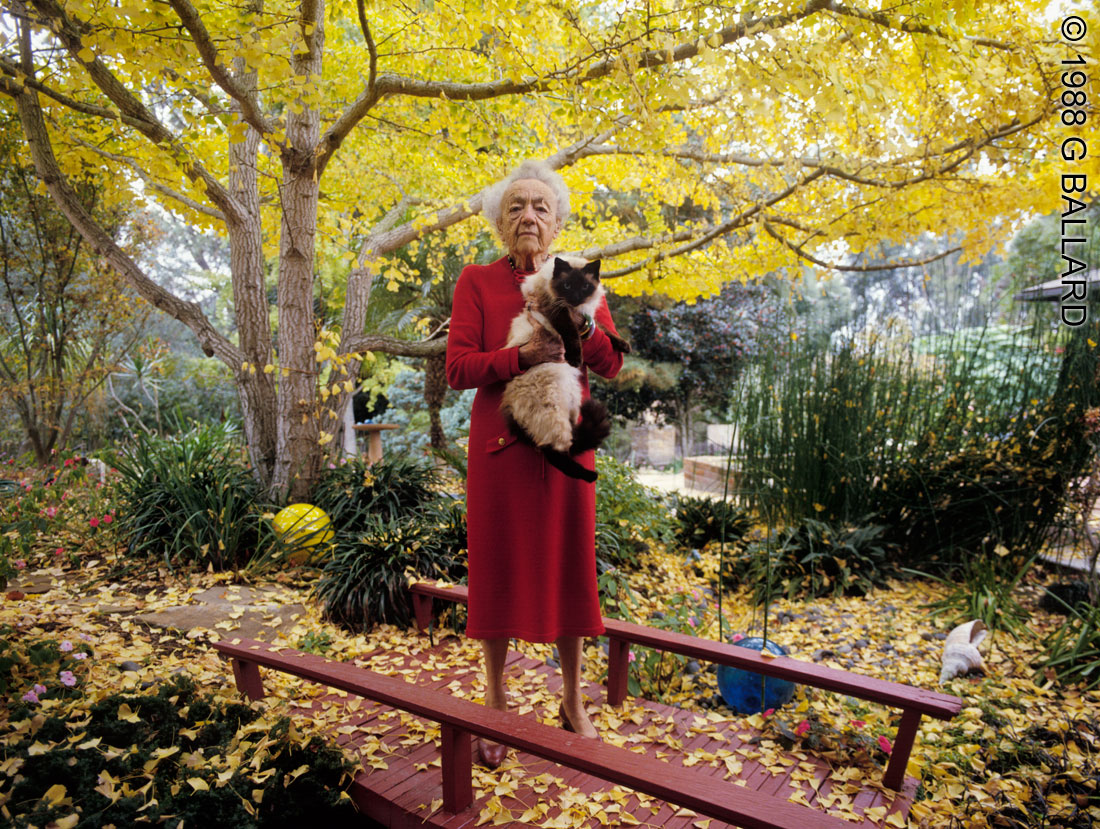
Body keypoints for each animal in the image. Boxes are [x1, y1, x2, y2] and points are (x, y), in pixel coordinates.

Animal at [499, 255, 629, 481]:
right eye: (567, 286)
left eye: (585, 286)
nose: (575, 298)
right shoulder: (556, 309)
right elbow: (571, 333)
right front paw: (575, 357)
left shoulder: (585, 314)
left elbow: (604, 331)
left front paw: (624, 345)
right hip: (553, 407)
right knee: (552, 451)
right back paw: (590, 476)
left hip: (573, 402)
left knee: (571, 444)